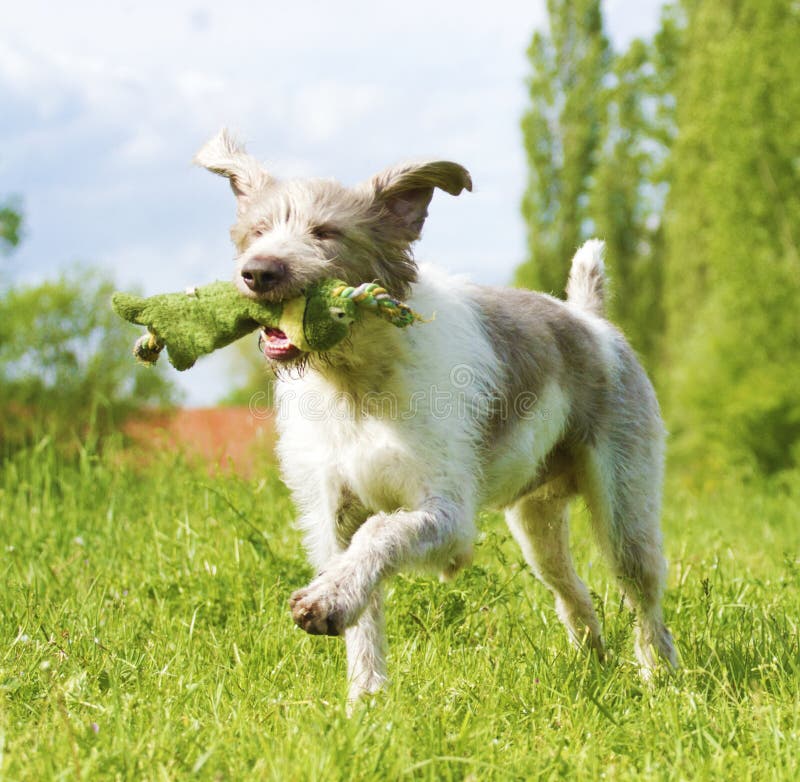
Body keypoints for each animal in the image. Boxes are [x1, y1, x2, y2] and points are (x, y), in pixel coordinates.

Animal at [194, 130, 676, 704]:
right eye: (258, 230)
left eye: (326, 232)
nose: (258, 272)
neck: (354, 382)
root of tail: (590, 320)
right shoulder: (333, 513)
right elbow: (363, 604)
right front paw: (364, 696)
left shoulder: (448, 515)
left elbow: (380, 532)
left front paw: (327, 603)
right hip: (535, 524)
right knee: (573, 592)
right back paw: (593, 666)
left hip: (625, 509)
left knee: (644, 597)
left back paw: (661, 679)